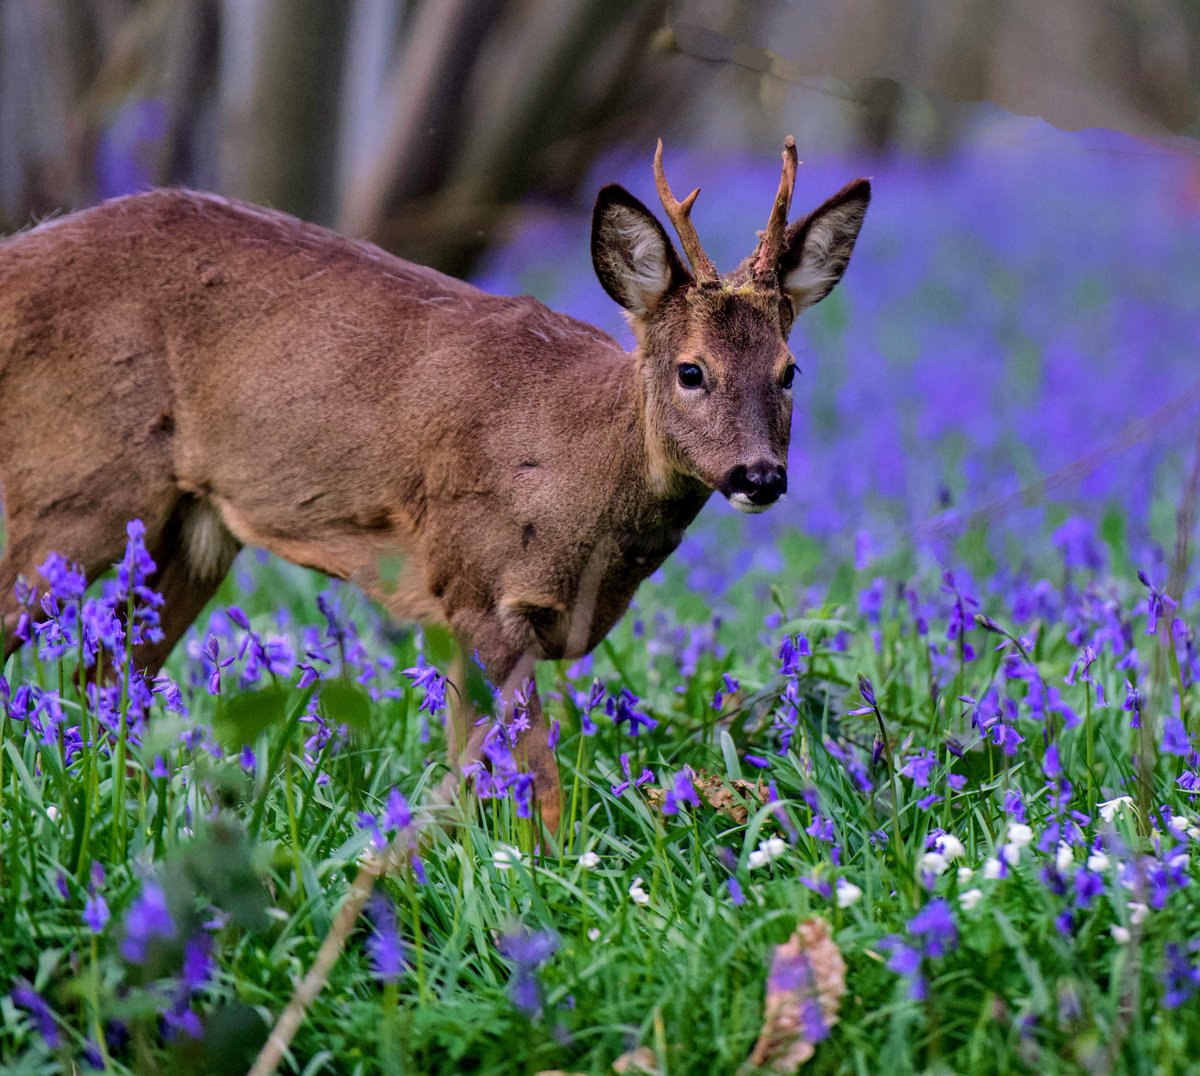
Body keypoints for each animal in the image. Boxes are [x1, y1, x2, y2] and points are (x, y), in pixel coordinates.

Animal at [0, 134, 868, 825]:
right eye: (692, 371)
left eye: (790, 371)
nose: (760, 475)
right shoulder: (479, 581)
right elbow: (536, 782)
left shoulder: (465, 614)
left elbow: (468, 766)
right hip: (70, 486)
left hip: (190, 526)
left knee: (107, 677)